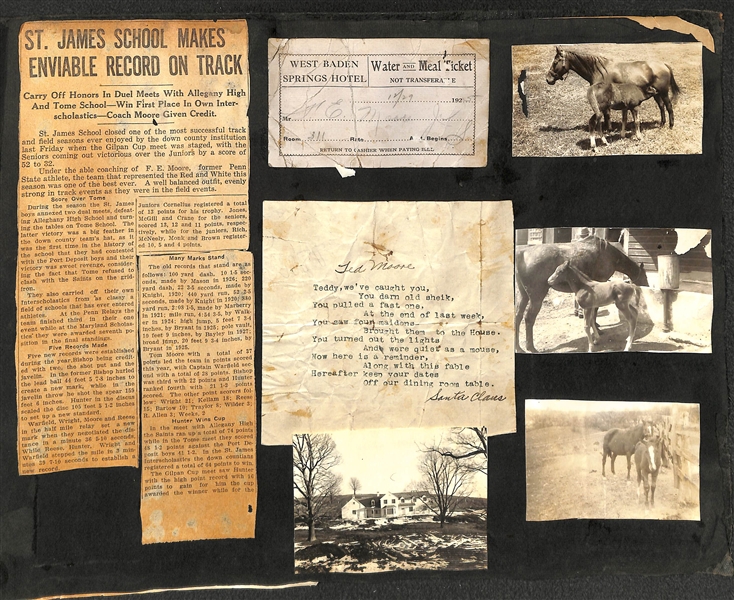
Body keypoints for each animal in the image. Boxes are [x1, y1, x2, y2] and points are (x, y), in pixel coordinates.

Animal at [516, 237, 648, 354]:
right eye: (645, 276)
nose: (646, 286)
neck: (609, 254)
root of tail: (521, 253)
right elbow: (595, 311)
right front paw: (597, 332)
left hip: (523, 295)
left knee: (518, 316)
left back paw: (519, 348)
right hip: (536, 297)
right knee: (529, 318)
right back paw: (531, 347)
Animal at [548, 46, 684, 131]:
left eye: (555, 62)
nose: (548, 79)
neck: (598, 70)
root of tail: (664, 65)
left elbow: (607, 113)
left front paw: (608, 129)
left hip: (664, 92)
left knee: (669, 106)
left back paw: (671, 125)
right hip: (656, 93)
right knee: (661, 107)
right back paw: (662, 124)